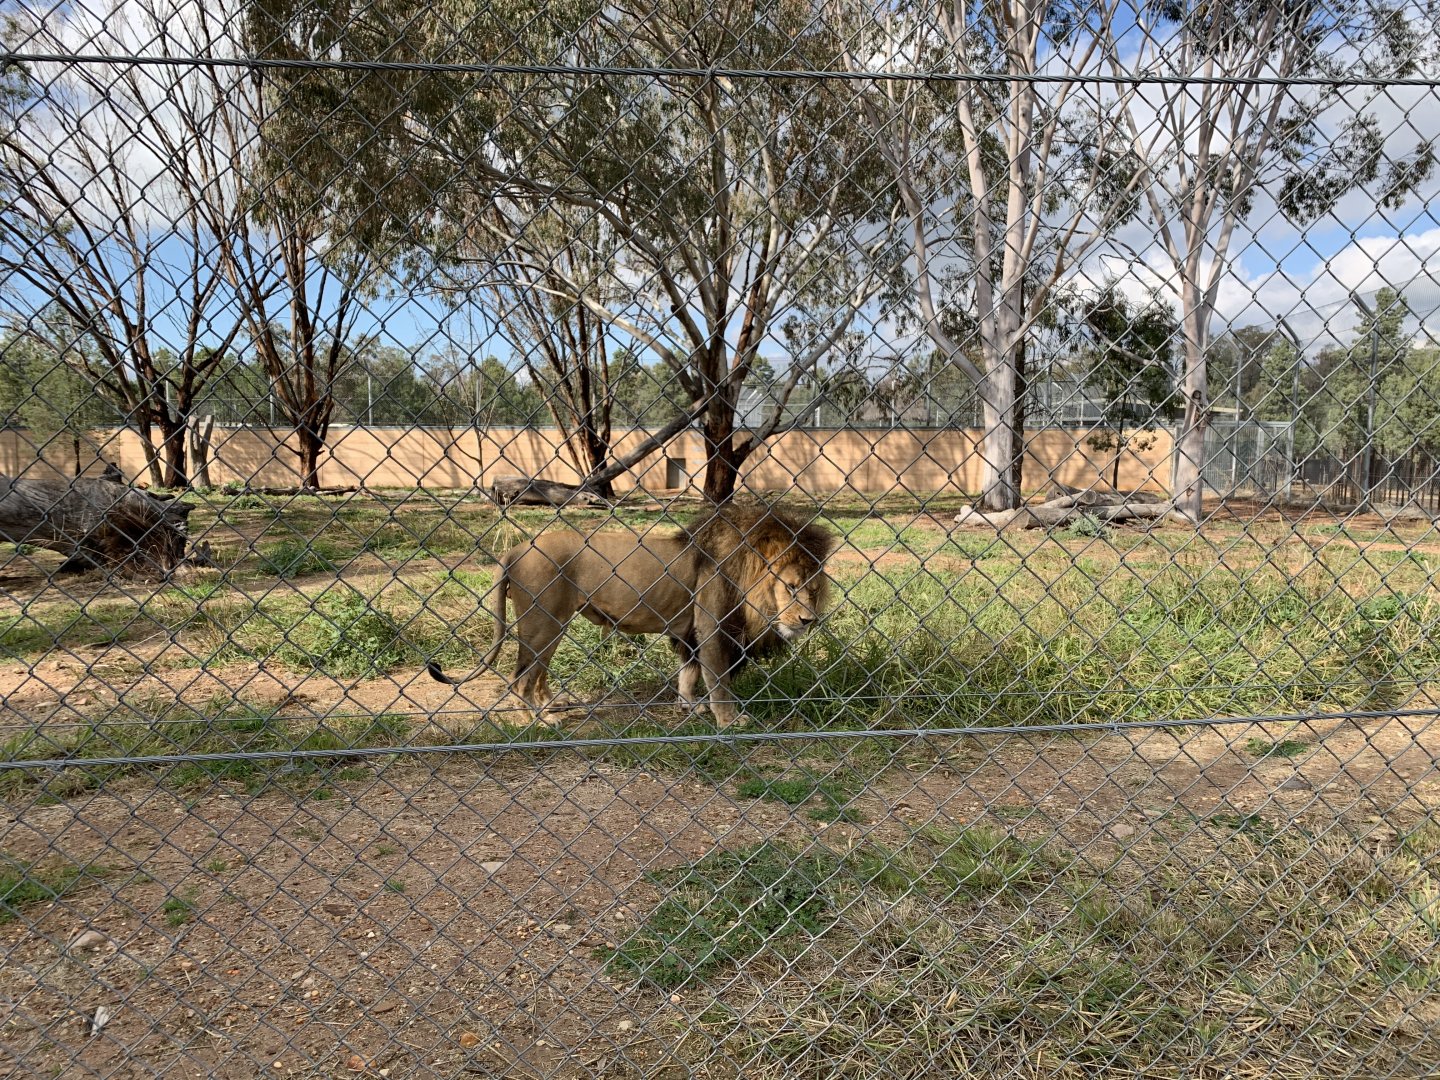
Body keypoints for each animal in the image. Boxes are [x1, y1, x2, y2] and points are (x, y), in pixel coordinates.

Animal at [427, 503, 837, 727]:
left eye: (814, 590)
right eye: (790, 587)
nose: (808, 621)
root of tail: (517, 548)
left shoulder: (689, 632)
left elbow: (688, 673)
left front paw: (688, 706)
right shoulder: (711, 626)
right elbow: (717, 678)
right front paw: (729, 720)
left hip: (552, 625)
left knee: (536, 675)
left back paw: (551, 707)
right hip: (543, 623)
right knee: (519, 681)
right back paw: (542, 721)